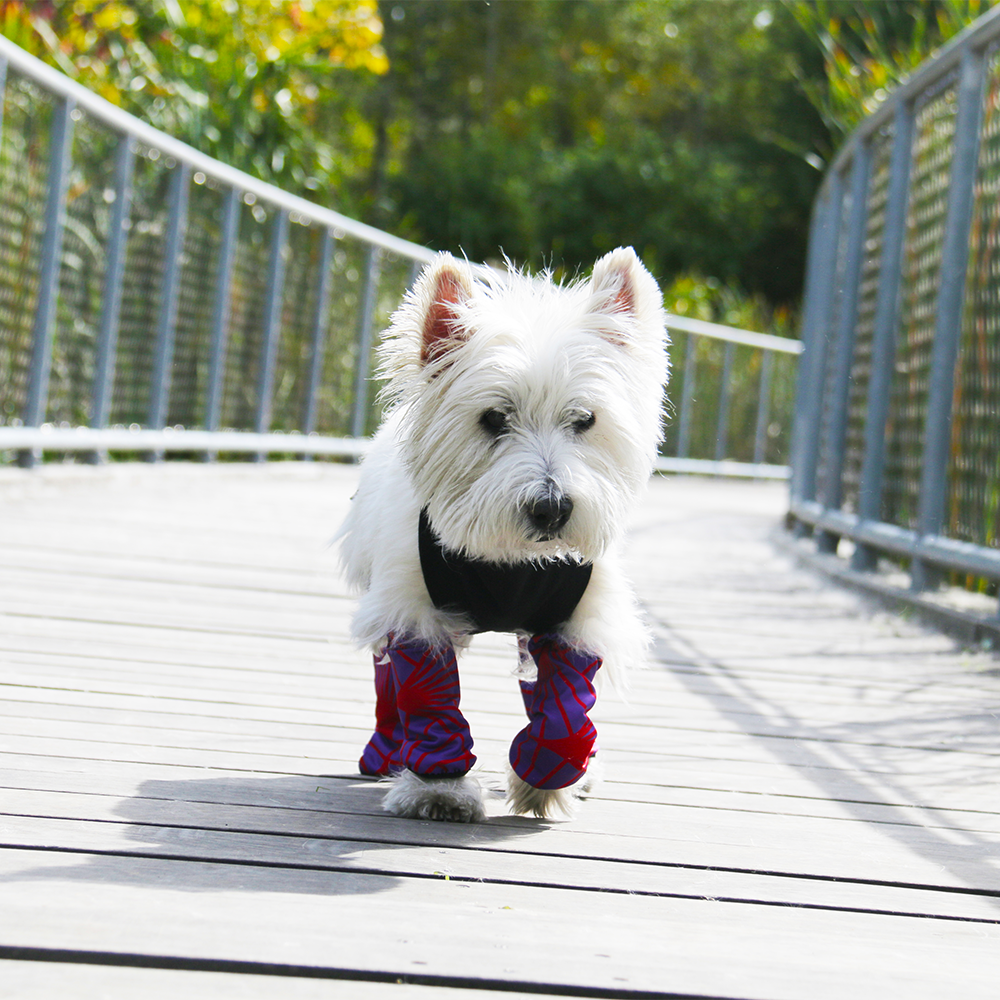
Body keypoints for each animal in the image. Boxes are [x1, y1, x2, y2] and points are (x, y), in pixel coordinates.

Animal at [340, 248, 668, 820]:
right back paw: (384, 754)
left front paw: (544, 782)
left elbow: (563, 713)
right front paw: (439, 791)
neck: (509, 564)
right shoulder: (414, 611)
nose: (552, 509)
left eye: (585, 419)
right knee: (387, 686)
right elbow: (430, 703)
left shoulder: (576, 617)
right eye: (494, 418)